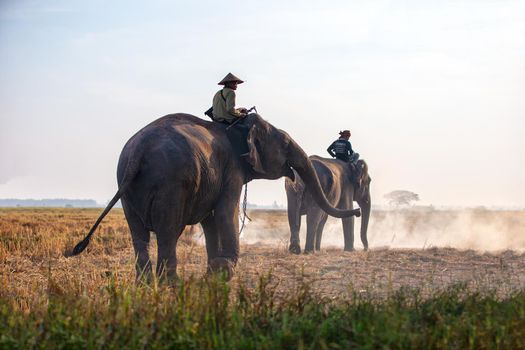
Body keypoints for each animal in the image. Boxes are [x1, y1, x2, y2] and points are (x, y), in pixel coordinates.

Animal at [69, 113, 360, 280]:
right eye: (286, 143)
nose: (357, 211)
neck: (237, 127)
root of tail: (137, 151)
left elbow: (210, 219)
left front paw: (215, 270)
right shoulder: (231, 168)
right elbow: (225, 211)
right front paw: (226, 269)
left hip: (129, 189)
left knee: (139, 234)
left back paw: (145, 284)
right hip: (170, 184)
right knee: (167, 231)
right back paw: (169, 283)